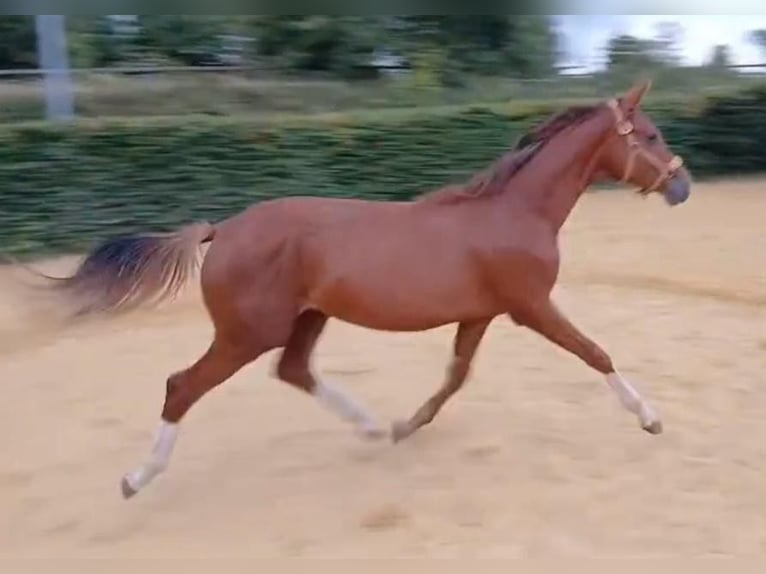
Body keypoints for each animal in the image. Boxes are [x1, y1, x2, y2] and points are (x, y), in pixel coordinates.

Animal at [21, 80, 691, 500]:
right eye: (650, 134)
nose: (681, 187)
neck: (512, 212)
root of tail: (221, 230)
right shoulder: (530, 307)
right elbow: (594, 352)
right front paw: (652, 418)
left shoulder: (482, 314)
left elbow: (454, 378)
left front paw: (406, 426)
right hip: (247, 332)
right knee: (182, 386)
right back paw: (136, 478)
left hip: (306, 318)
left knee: (293, 371)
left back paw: (371, 427)